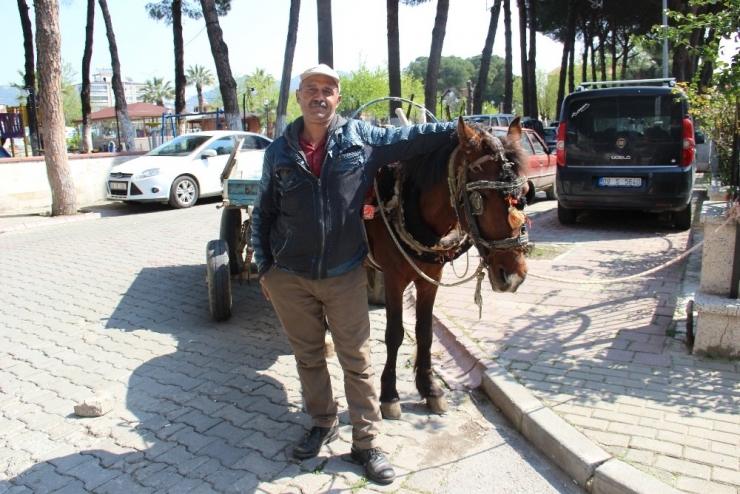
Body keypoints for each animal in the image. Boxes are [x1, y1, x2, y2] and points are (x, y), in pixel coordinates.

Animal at [362, 116, 528, 420]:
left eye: (523, 194)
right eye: (481, 197)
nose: (514, 277)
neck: (407, 200)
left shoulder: (430, 279)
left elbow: (424, 332)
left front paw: (429, 388)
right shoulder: (393, 279)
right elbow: (394, 334)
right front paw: (389, 394)